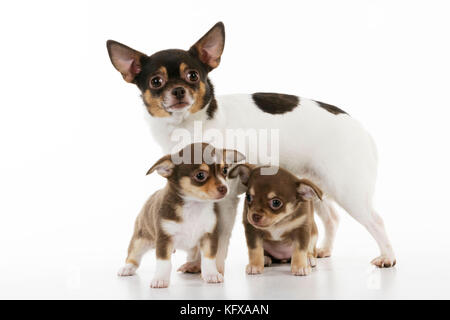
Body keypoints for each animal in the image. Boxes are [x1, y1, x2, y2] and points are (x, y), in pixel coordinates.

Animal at [116, 142, 243, 288]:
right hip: (141, 238)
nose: (224, 188)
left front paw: (211, 274)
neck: (194, 207)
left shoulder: (209, 236)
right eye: (200, 175)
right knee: (133, 255)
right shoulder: (164, 239)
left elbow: (208, 258)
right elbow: (164, 262)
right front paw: (160, 279)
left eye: (225, 170)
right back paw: (127, 268)